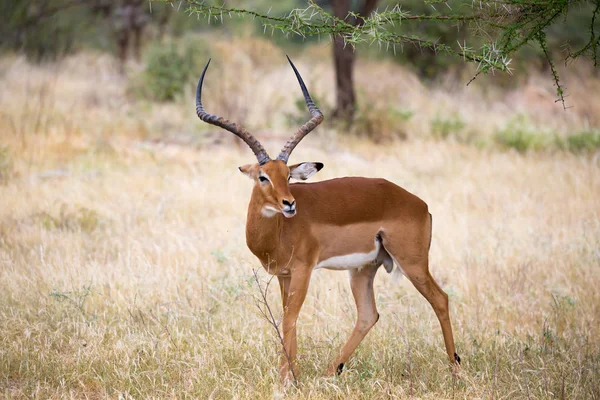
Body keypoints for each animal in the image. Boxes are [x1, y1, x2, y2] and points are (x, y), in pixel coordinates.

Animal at [195, 57, 462, 382]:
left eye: (287, 176)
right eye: (263, 177)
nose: (289, 204)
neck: (278, 232)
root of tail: (420, 204)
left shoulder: (303, 270)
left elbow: (290, 319)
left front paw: (285, 380)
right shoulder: (285, 275)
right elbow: (288, 318)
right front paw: (292, 375)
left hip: (413, 263)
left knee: (440, 299)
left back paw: (455, 369)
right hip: (363, 269)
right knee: (368, 314)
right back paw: (330, 372)